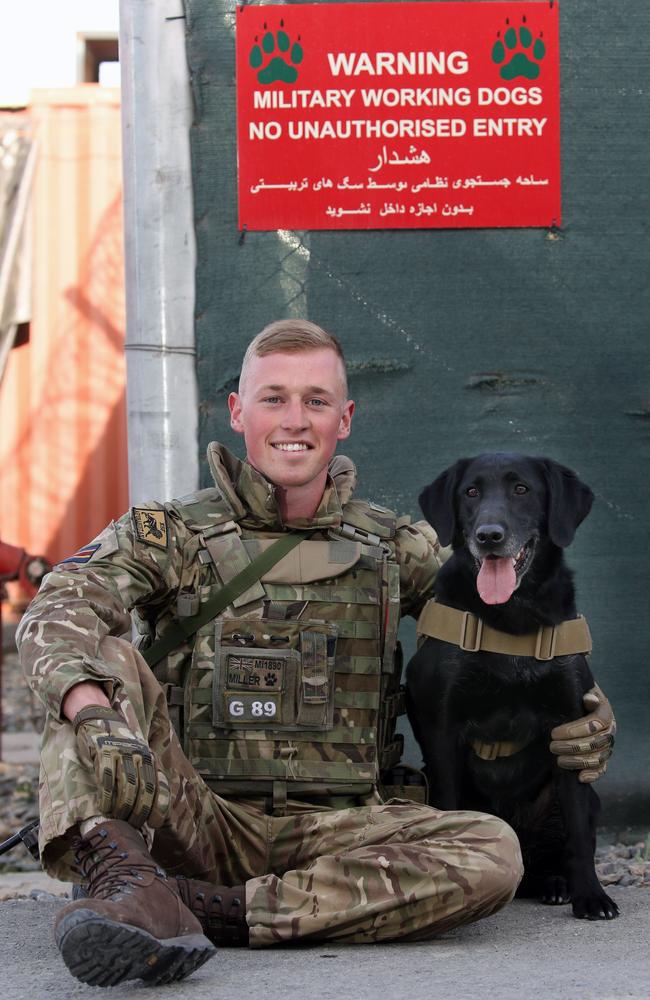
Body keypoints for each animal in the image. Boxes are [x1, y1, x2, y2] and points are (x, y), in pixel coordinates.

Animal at [404, 454, 616, 920]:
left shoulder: (570, 726)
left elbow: (579, 832)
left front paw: (592, 896)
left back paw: (557, 884)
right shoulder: (442, 731)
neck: (512, 618)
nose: (489, 536)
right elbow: (450, 807)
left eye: (522, 490)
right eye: (470, 492)